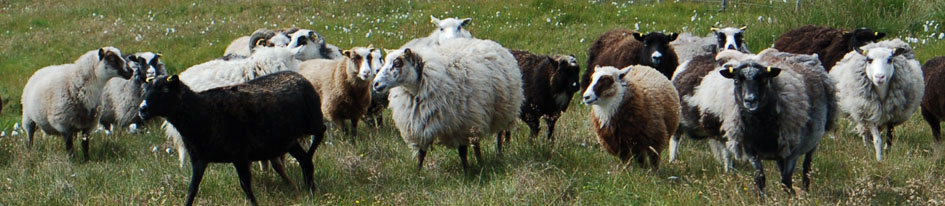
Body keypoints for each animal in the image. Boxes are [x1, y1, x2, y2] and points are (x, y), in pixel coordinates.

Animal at [133, 72, 324, 206]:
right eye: (146, 90)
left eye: (166, 90)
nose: (142, 110)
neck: (200, 111)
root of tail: (299, 76)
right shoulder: (199, 159)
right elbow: (192, 189)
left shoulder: (240, 155)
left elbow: (245, 185)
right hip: (288, 140)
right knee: (305, 161)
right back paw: (310, 190)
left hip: (312, 120)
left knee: (320, 134)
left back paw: (311, 164)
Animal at [370, 37, 524, 171]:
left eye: (397, 63)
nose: (375, 84)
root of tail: (493, 43)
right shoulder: (421, 124)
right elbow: (421, 153)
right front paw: (417, 174)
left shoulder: (461, 126)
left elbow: (462, 151)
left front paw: (467, 173)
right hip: (478, 115)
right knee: (477, 142)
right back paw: (482, 160)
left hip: (500, 110)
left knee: (498, 134)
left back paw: (497, 154)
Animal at [700, 49, 832, 196]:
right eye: (736, 81)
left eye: (764, 80)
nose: (750, 100)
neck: (761, 129)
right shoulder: (751, 150)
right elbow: (760, 178)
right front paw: (761, 197)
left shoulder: (793, 151)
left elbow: (786, 181)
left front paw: (792, 196)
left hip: (813, 140)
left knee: (807, 167)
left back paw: (807, 190)